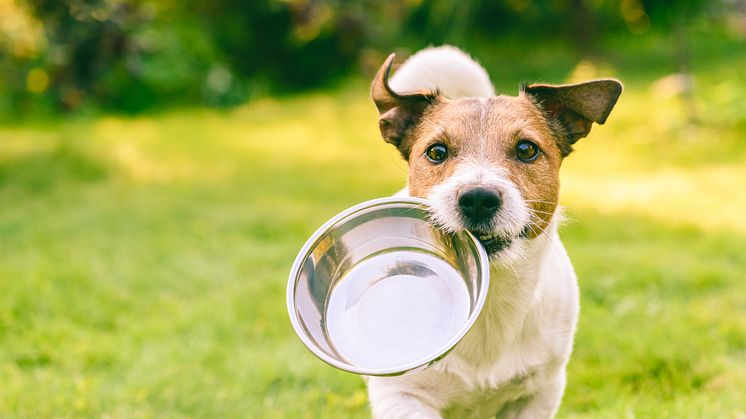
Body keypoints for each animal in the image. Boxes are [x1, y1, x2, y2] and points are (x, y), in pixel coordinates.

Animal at [366, 46, 620, 419]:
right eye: (436, 151)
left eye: (527, 149)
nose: (478, 199)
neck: (490, 297)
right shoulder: (403, 393)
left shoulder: (540, 391)